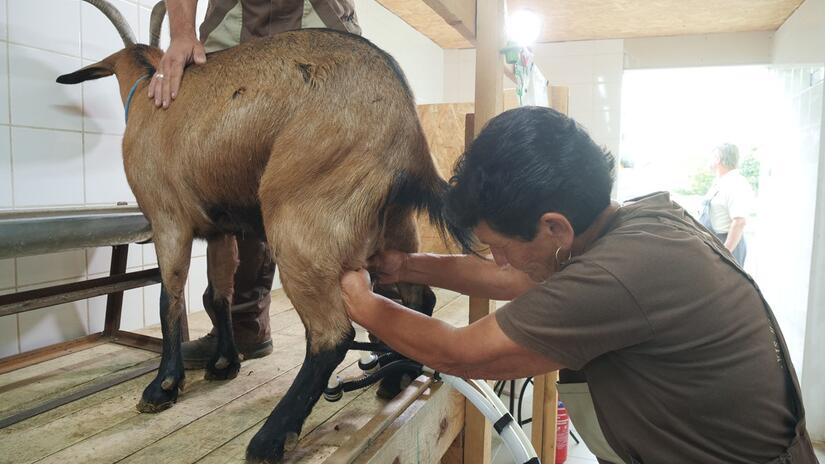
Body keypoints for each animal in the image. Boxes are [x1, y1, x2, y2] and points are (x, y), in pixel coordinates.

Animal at [56, 0, 470, 460]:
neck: (151, 88)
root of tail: (404, 120)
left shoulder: (169, 220)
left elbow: (171, 298)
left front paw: (163, 386)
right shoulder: (219, 228)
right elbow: (216, 295)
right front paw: (224, 363)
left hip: (299, 223)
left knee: (332, 334)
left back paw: (272, 436)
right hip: (394, 227)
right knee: (419, 298)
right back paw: (398, 377)